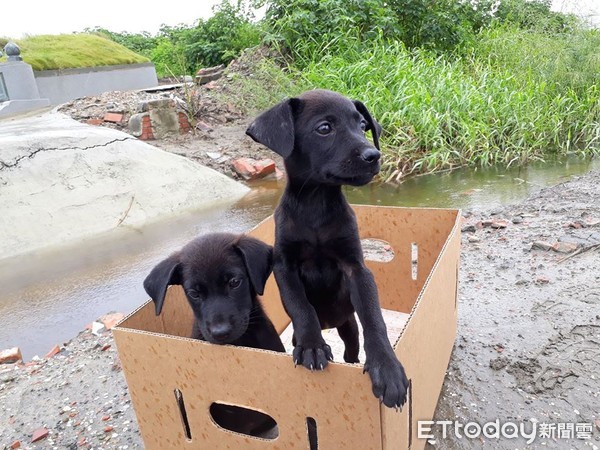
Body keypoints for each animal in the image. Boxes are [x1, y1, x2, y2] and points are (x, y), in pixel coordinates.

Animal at [246, 89, 410, 410]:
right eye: (324, 128)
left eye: (363, 126)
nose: (374, 156)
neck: (316, 204)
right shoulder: (285, 267)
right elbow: (301, 306)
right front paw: (311, 346)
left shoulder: (356, 268)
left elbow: (374, 317)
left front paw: (387, 367)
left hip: (348, 326)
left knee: (351, 349)